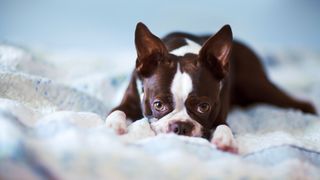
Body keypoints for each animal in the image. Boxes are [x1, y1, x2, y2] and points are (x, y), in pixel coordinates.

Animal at [106, 22, 316, 152]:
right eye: (158, 105)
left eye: (203, 107)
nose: (181, 126)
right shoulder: (131, 100)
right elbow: (117, 111)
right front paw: (115, 126)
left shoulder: (220, 113)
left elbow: (224, 125)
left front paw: (225, 140)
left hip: (259, 86)